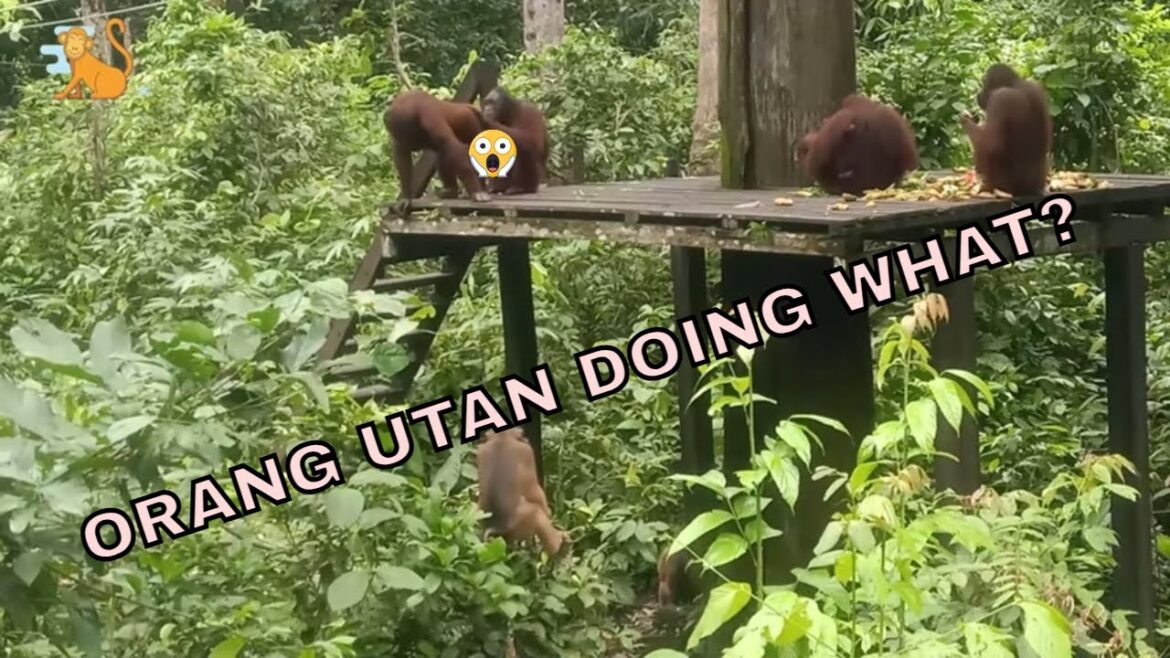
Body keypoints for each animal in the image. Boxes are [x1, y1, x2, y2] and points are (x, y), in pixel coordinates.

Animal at [475, 427, 567, 557]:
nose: (525, 438)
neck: (502, 438)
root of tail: (497, 526)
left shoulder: (481, 451)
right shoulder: (526, 451)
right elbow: (534, 490)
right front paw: (548, 511)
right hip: (520, 524)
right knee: (535, 512)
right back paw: (557, 545)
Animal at [961, 63, 1052, 197]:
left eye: (984, 83)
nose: (979, 93)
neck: (1016, 84)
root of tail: (1032, 189)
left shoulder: (999, 98)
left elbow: (991, 145)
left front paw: (965, 120)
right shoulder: (1036, 88)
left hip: (1004, 184)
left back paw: (985, 186)